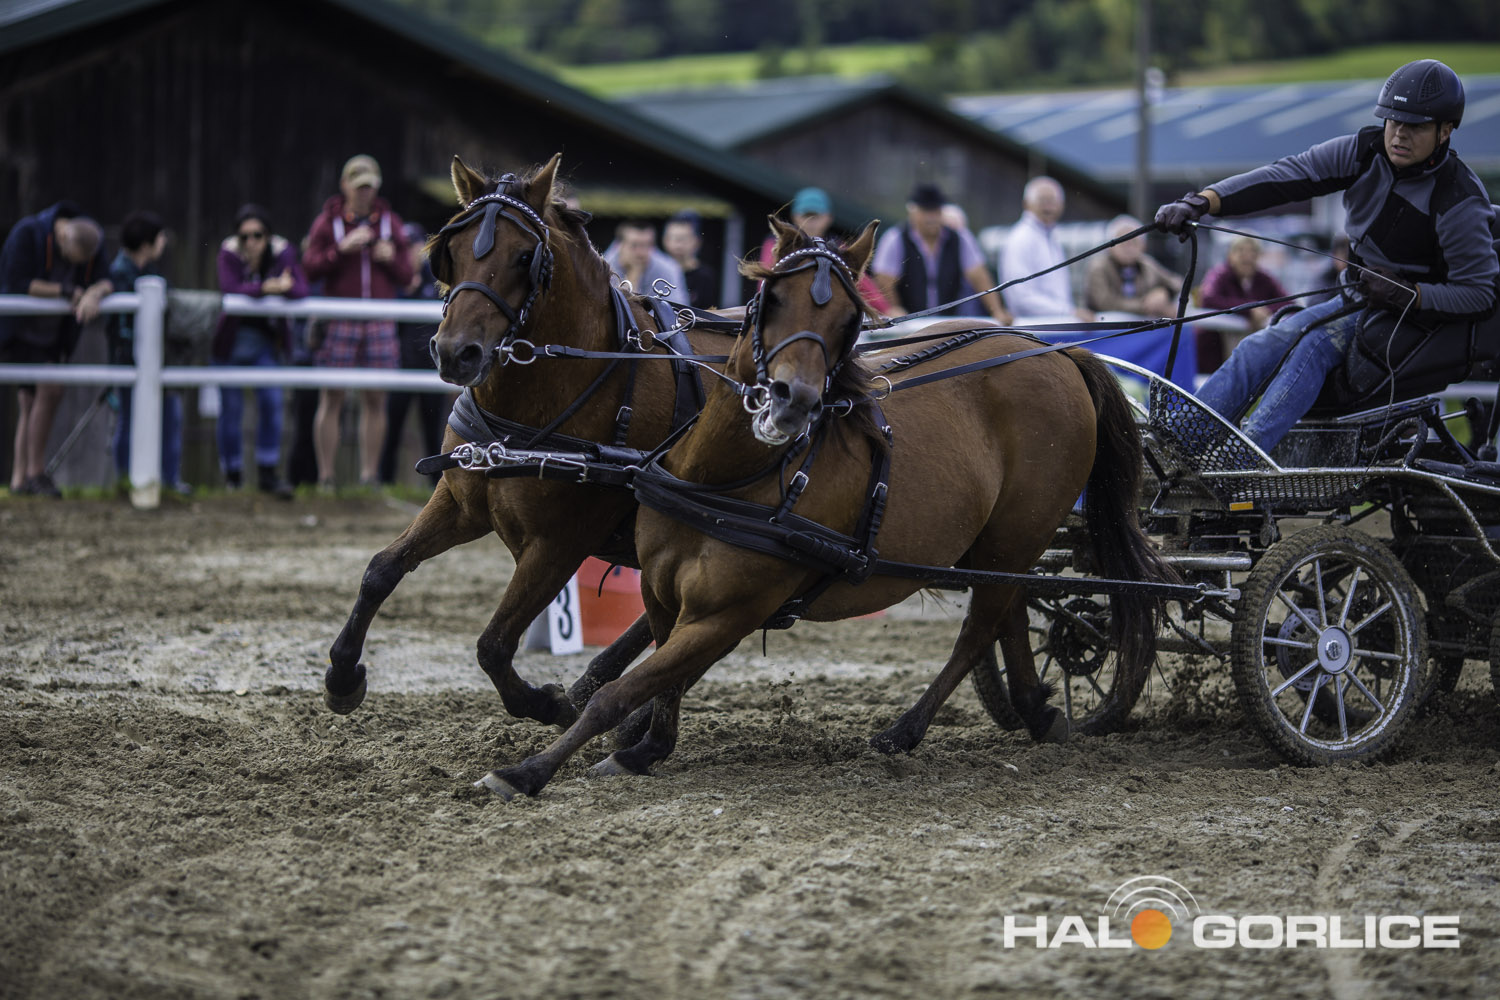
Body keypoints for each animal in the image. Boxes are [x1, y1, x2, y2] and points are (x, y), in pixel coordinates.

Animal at [323, 154, 738, 729]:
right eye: (451, 250)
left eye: (524, 256)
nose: (455, 353)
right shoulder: (460, 503)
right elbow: (380, 571)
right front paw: (343, 676)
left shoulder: (559, 543)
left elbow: (494, 644)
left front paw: (548, 703)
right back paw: (598, 686)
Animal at [475, 220, 1173, 799]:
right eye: (771, 299)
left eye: (848, 319)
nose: (793, 400)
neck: (726, 478)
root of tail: (1055, 351)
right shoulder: (663, 594)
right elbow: (656, 678)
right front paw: (644, 747)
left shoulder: (729, 614)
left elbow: (622, 692)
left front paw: (527, 771)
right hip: (1003, 544)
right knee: (1009, 617)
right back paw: (1037, 709)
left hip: (1017, 533)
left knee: (981, 628)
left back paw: (906, 731)